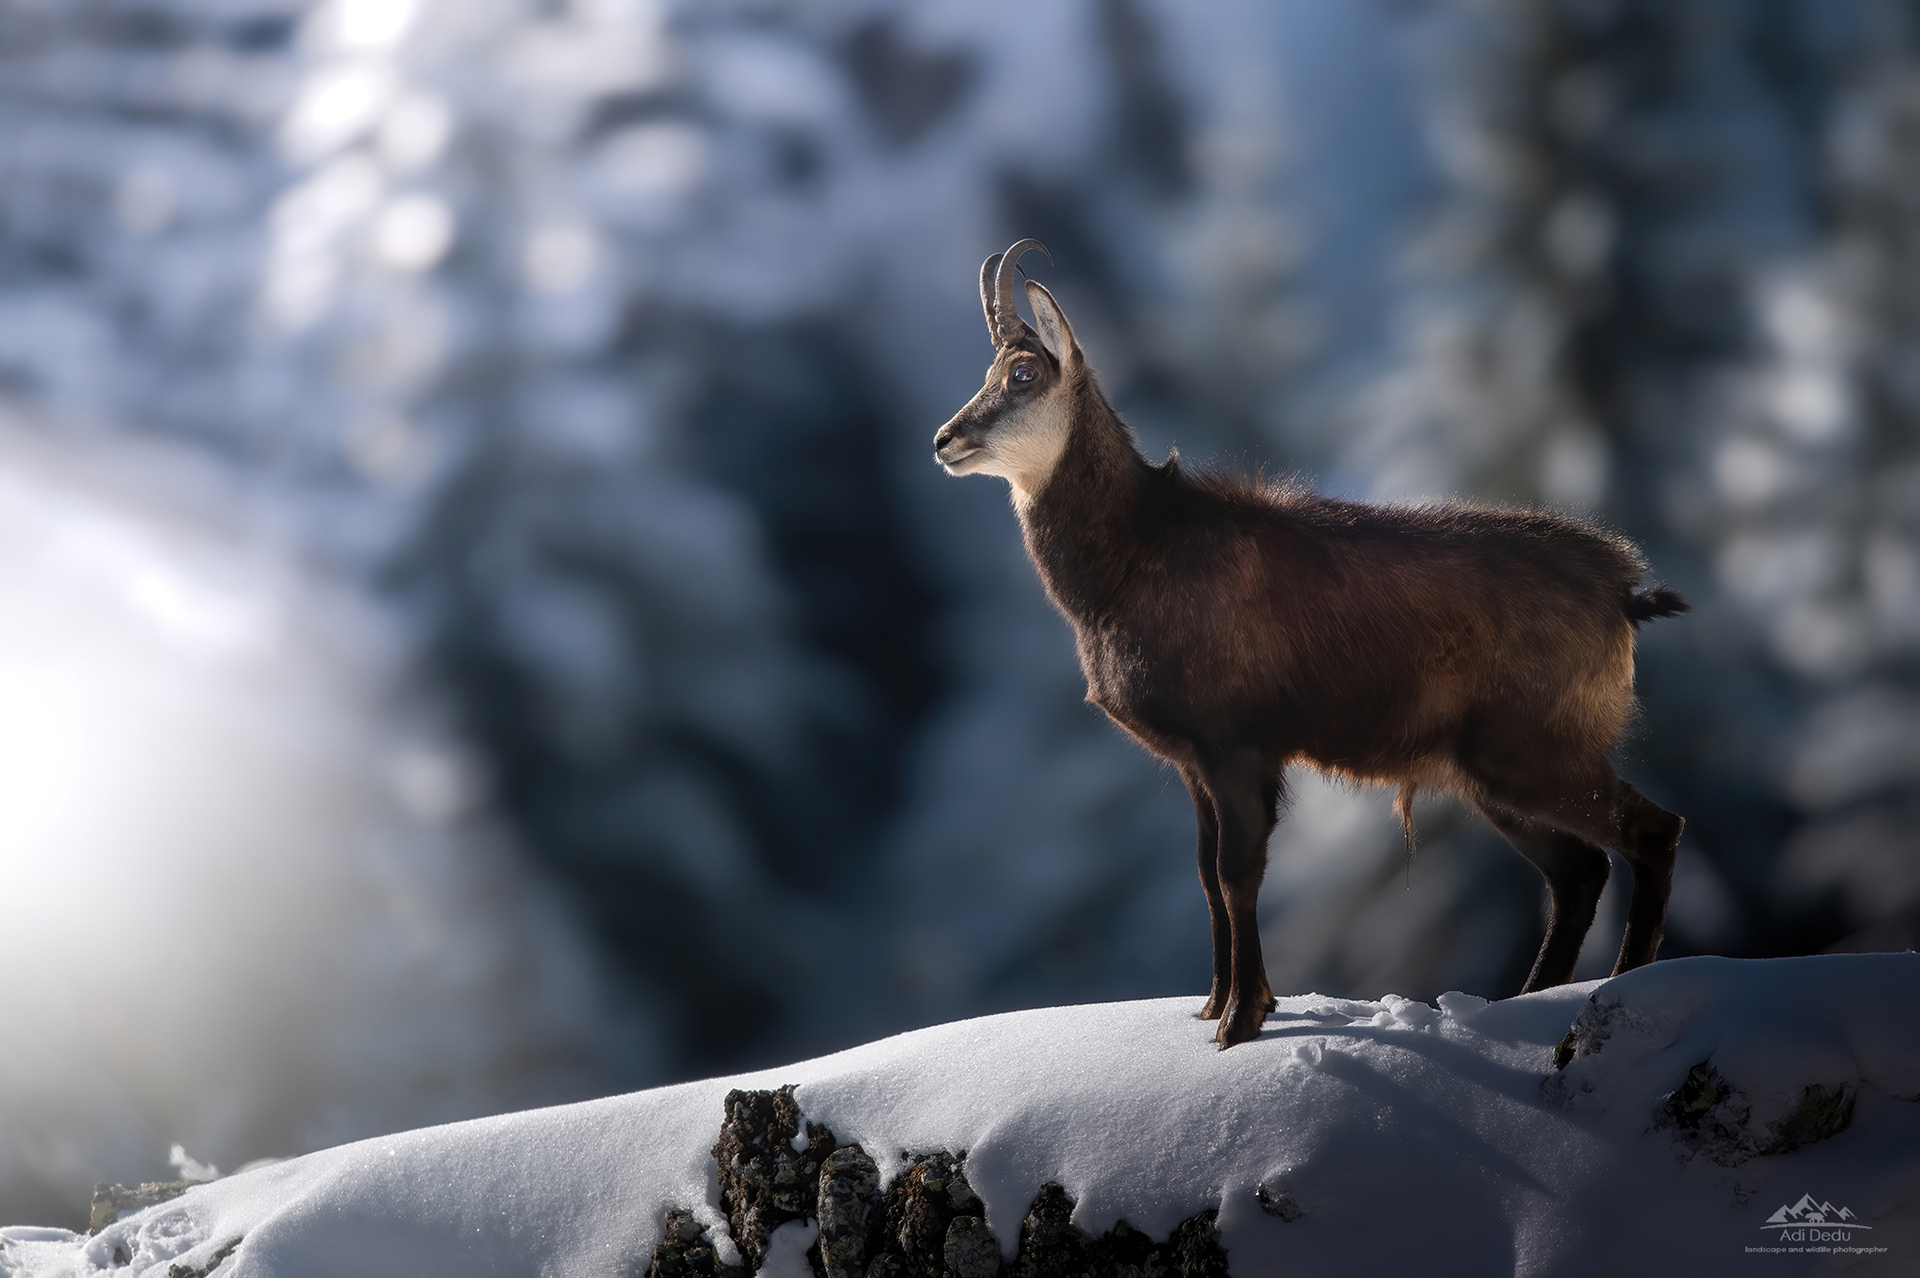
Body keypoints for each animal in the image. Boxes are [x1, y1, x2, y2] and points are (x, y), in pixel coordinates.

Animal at [933, 240, 1689, 1049]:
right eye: (989, 371)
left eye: (1022, 373)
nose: (945, 440)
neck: (1133, 558)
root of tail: (1622, 592)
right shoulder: (1195, 763)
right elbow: (1206, 875)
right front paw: (1212, 1007)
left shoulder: (1237, 746)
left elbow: (1237, 873)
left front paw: (1242, 1020)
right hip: (1492, 774)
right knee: (1578, 872)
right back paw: (1528, 1002)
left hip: (1533, 750)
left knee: (1652, 831)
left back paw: (1626, 985)